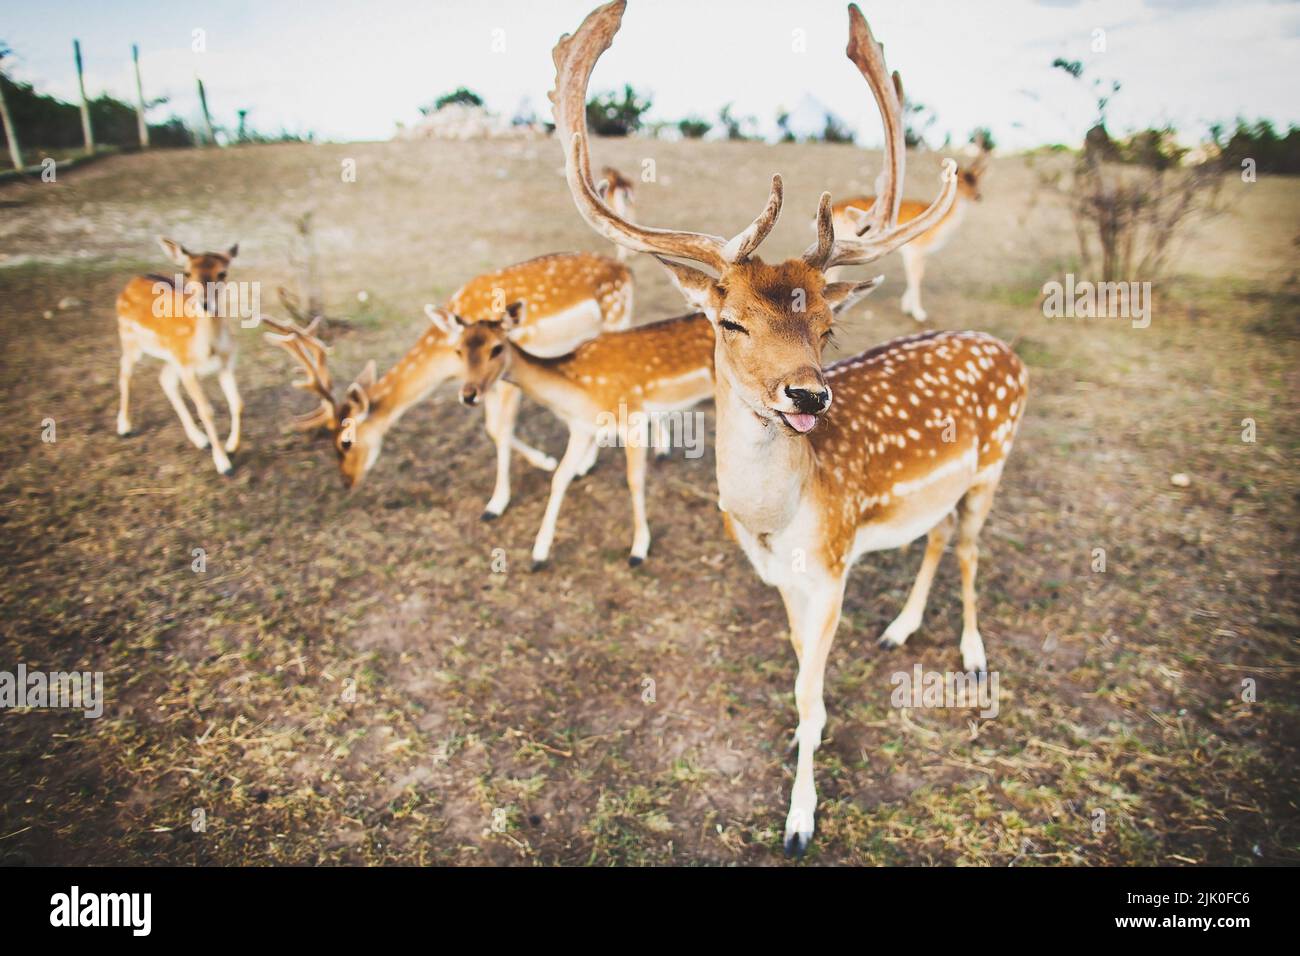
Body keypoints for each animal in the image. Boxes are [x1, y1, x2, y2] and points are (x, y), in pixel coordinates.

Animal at [115, 237, 243, 475]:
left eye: (222, 273)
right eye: (187, 272)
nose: (205, 304)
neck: (209, 349)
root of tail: (132, 282)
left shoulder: (226, 364)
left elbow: (238, 403)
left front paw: (231, 446)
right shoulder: (188, 369)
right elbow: (206, 411)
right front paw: (223, 464)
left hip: (171, 357)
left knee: (165, 380)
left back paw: (200, 439)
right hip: (129, 338)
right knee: (125, 372)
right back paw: (124, 426)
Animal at [263, 253, 633, 518]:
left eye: (345, 442)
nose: (346, 482)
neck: (447, 358)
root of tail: (626, 270)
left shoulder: (504, 376)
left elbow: (500, 429)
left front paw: (496, 504)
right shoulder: (480, 385)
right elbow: (493, 429)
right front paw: (544, 460)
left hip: (616, 322)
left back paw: (587, 463)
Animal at [436, 302, 714, 568]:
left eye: (496, 348)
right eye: (458, 350)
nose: (468, 395)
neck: (577, 392)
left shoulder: (631, 420)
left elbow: (635, 480)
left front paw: (638, 551)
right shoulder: (581, 428)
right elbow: (560, 477)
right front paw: (538, 556)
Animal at [824, 145, 989, 320]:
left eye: (977, 181)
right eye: (961, 181)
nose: (978, 196)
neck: (939, 230)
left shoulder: (922, 253)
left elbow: (919, 275)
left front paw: (907, 307)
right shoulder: (914, 250)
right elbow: (916, 276)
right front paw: (918, 313)